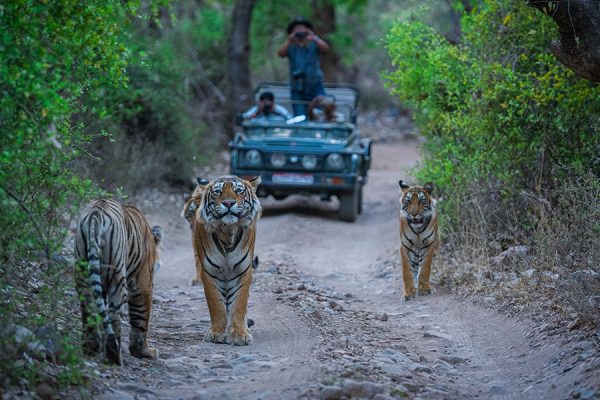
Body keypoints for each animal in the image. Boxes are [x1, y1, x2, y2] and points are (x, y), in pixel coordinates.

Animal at [73, 198, 163, 364]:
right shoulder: (143, 283)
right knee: (114, 315)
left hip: (83, 272)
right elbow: (140, 318)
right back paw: (114, 356)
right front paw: (144, 352)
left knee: (89, 309)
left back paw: (92, 349)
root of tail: (96, 213)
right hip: (117, 277)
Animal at [192, 177, 262, 346]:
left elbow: (239, 304)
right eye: (218, 192)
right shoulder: (209, 272)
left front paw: (239, 334)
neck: (227, 232)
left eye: (239, 191)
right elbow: (216, 304)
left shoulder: (243, 271)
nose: (229, 203)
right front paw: (216, 333)